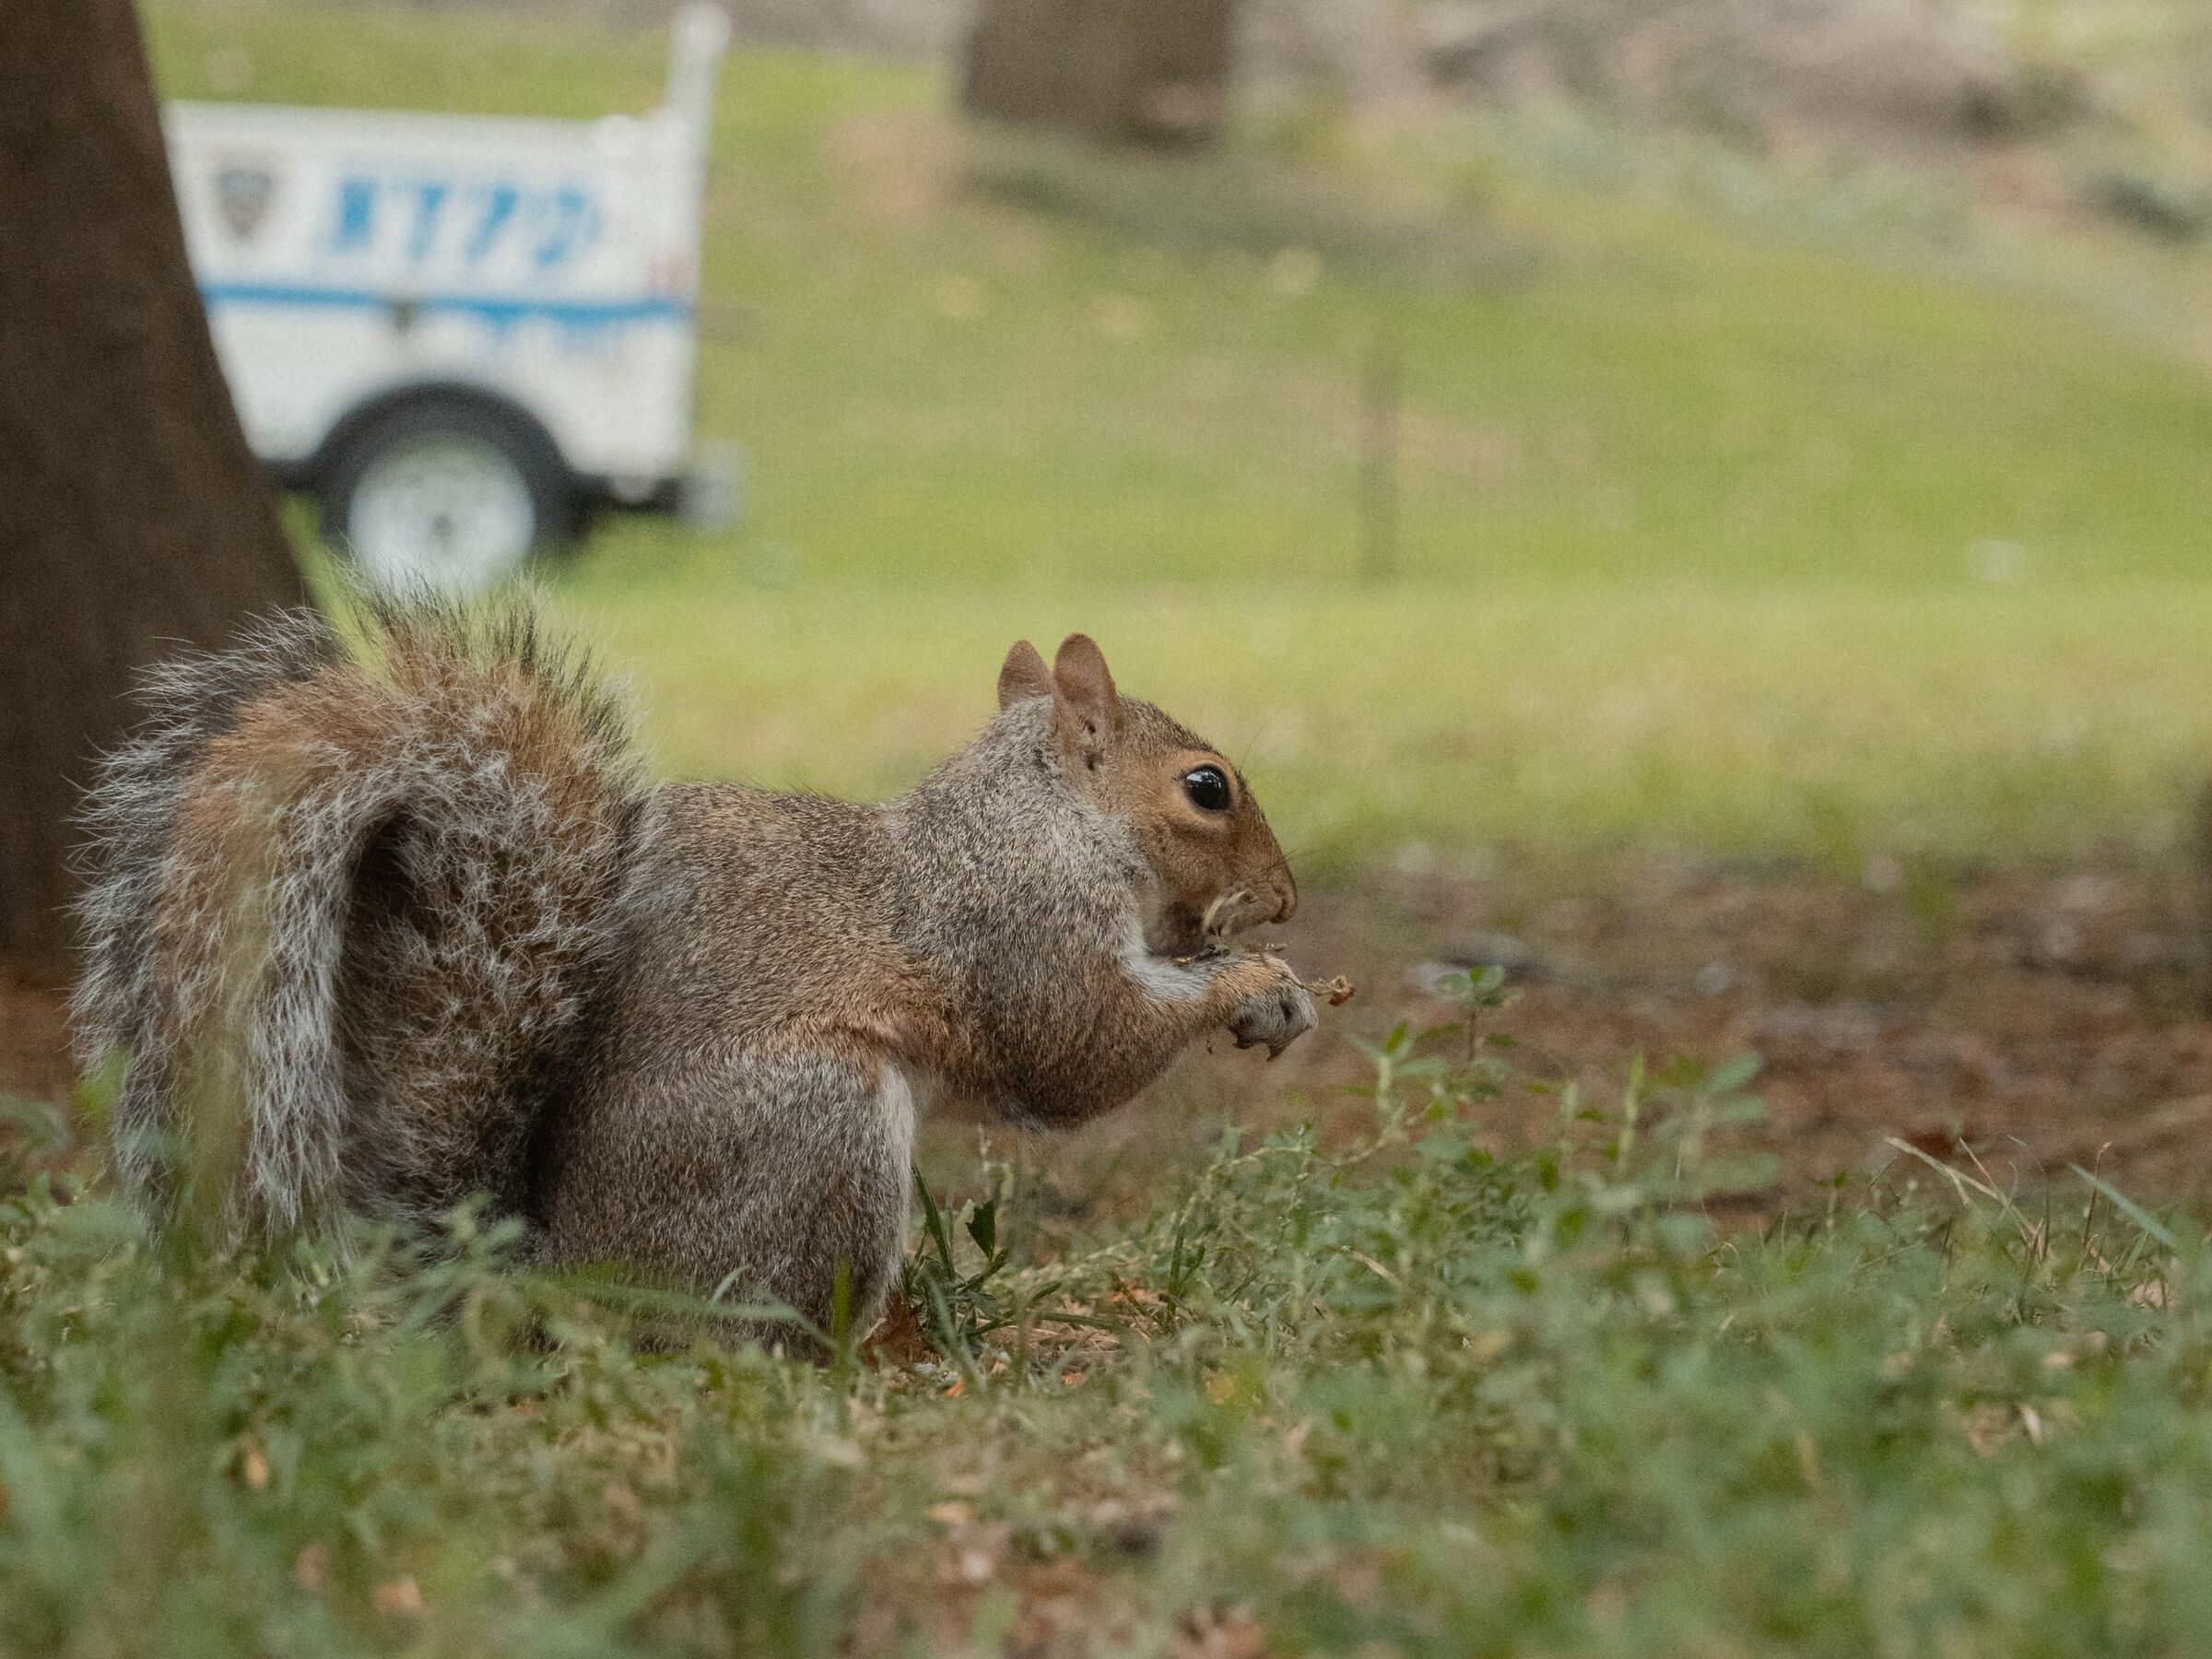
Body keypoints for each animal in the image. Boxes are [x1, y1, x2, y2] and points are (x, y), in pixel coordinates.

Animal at [71, 596, 1317, 1343]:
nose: (1288, 899)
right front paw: (1248, 985)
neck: (1042, 821)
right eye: (1207, 788)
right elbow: (1077, 1054)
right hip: (815, 1124)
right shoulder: (1016, 933)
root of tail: (556, 1272)